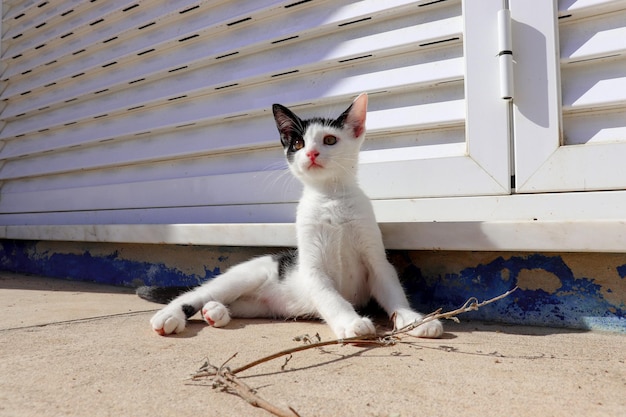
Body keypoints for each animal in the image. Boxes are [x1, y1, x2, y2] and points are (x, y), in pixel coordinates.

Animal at [140, 94, 444, 338]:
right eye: (297, 143)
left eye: (329, 140)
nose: (311, 153)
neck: (330, 199)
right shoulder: (312, 268)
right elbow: (330, 297)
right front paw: (351, 322)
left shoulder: (376, 260)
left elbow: (393, 291)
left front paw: (415, 320)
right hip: (243, 276)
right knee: (196, 294)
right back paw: (170, 315)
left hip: (255, 305)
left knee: (227, 303)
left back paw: (215, 312)